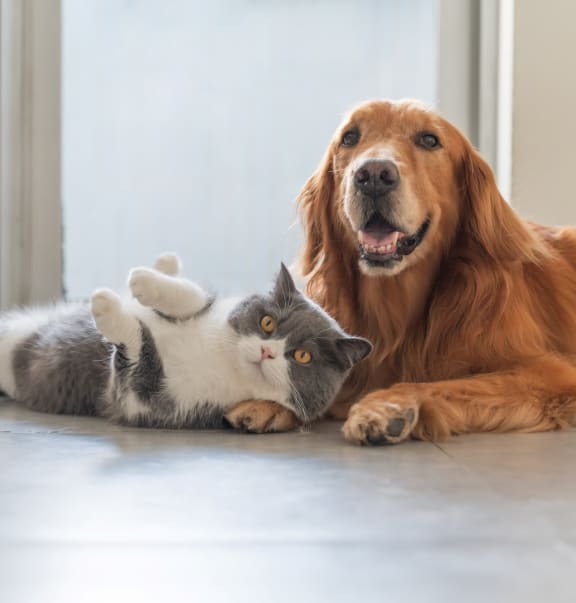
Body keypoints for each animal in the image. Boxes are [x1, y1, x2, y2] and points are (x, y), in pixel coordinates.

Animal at [0, 252, 372, 432]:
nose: (267, 351)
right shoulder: (208, 311)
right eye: (267, 323)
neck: (221, 358)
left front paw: (106, 307)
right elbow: (193, 298)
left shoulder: (150, 404)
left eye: (303, 356)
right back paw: (164, 264)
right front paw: (146, 281)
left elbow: (137, 351)